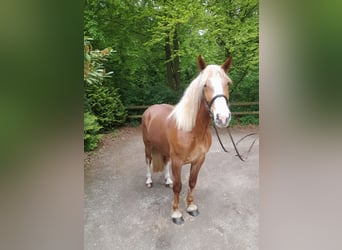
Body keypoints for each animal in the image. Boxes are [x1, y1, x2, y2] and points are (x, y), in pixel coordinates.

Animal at [142, 55, 232, 225]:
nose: (222, 118)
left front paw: (191, 207)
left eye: (227, 83)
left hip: (164, 149)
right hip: (148, 146)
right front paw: (176, 214)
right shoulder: (177, 162)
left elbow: (192, 182)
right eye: (205, 85)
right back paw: (149, 181)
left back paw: (167, 180)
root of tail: (149, 110)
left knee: (165, 162)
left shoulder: (199, 160)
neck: (192, 131)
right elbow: (178, 186)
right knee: (148, 161)